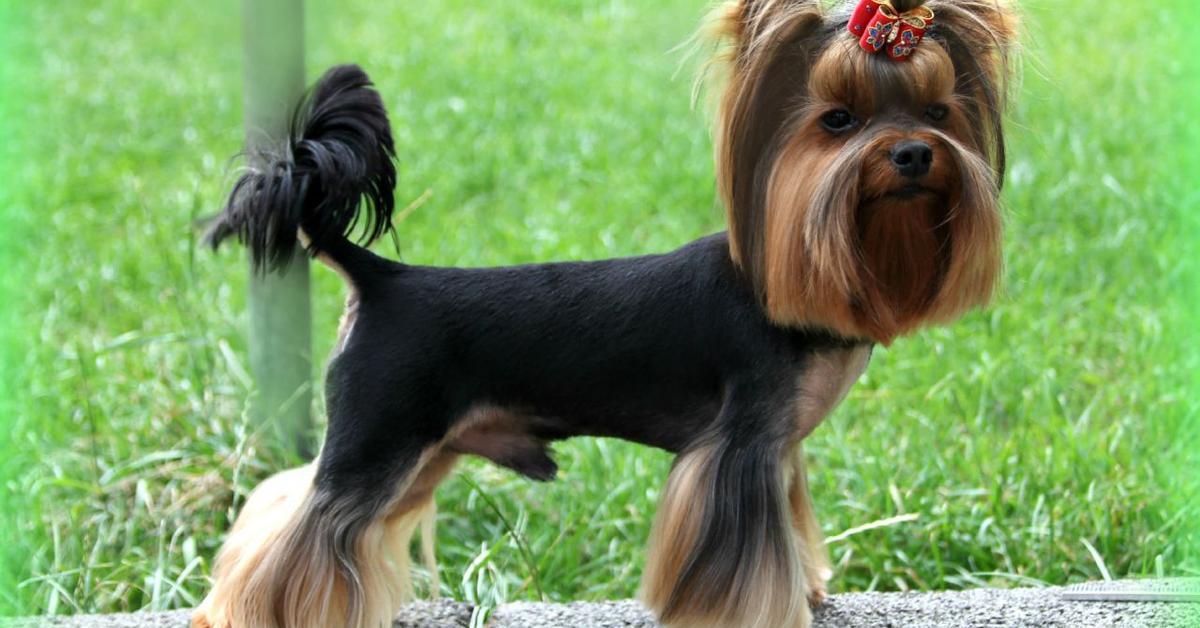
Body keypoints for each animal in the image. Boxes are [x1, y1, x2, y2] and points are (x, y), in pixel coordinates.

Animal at [194, 0, 1012, 624]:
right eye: (839, 120)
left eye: (938, 112)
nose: (913, 153)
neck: (792, 278)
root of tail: (384, 278)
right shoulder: (740, 447)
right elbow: (744, 557)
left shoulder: (780, 452)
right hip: (379, 438)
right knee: (296, 531)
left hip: (420, 454)